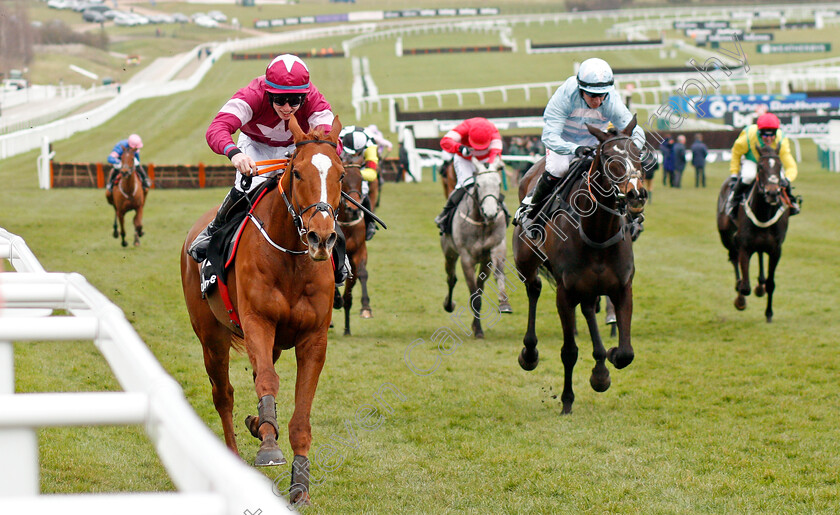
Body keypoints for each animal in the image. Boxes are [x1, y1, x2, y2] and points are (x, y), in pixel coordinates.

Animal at [180, 115, 344, 506]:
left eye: (342, 174)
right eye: (297, 173)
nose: (321, 237)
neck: (292, 260)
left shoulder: (313, 338)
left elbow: (300, 414)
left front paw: (300, 486)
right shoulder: (258, 322)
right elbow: (267, 381)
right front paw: (269, 445)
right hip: (211, 337)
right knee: (223, 394)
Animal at [440, 159, 512, 340]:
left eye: (499, 183)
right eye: (478, 185)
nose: (491, 213)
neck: (481, 222)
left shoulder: (497, 247)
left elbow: (498, 275)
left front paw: (504, 303)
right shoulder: (466, 258)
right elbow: (474, 295)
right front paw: (478, 330)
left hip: (485, 262)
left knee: (481, 285)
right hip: (449, 253)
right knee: (451, 278)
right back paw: (448, 304)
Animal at [508, 118, 648, 416]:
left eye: (638, 154)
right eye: (608, 158)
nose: (636, 194)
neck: (596, 233)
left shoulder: (623, 288)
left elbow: (626, 352)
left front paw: (606, 364)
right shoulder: (565, 293)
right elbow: (569, 352)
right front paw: (567, 401)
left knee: (587, 309)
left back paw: (600, 368)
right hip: (526, 262)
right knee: (534, 290)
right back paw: (529, 353)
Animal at [716, 145, 788, 322]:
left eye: (780, 166)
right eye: (760, 167)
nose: (772, 193)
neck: (763, 214)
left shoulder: (776, 250)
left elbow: (771, 283)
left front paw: (769, 313)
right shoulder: (744, 246)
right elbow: (745, 287)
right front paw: (740, 300)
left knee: (760, 255)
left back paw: (760, 286)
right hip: (725, 235)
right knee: (733, 257)